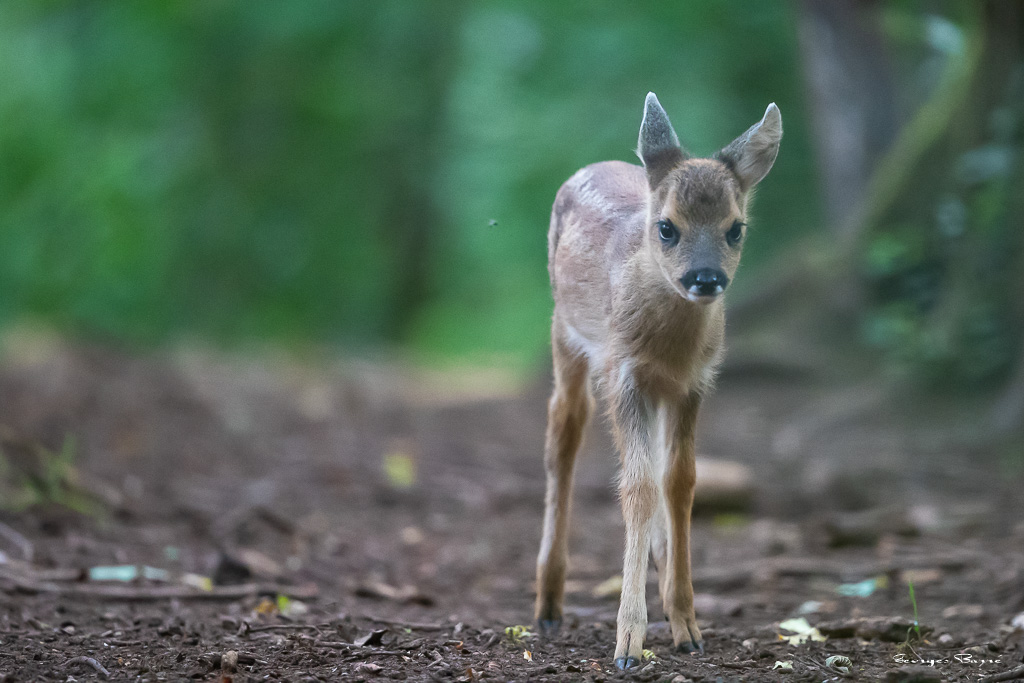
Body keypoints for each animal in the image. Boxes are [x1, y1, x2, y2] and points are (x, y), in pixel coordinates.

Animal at [534, 92, 781, 670]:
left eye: (736, 228)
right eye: (667, 227)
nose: (706, 278)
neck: (668, 350)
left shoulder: (694, 384)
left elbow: (681, 481)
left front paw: (687, 624)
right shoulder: (623, 374)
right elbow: (638, 487)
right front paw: (627, 642)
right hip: (566, 336)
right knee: (563, 434)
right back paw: (548, 607)